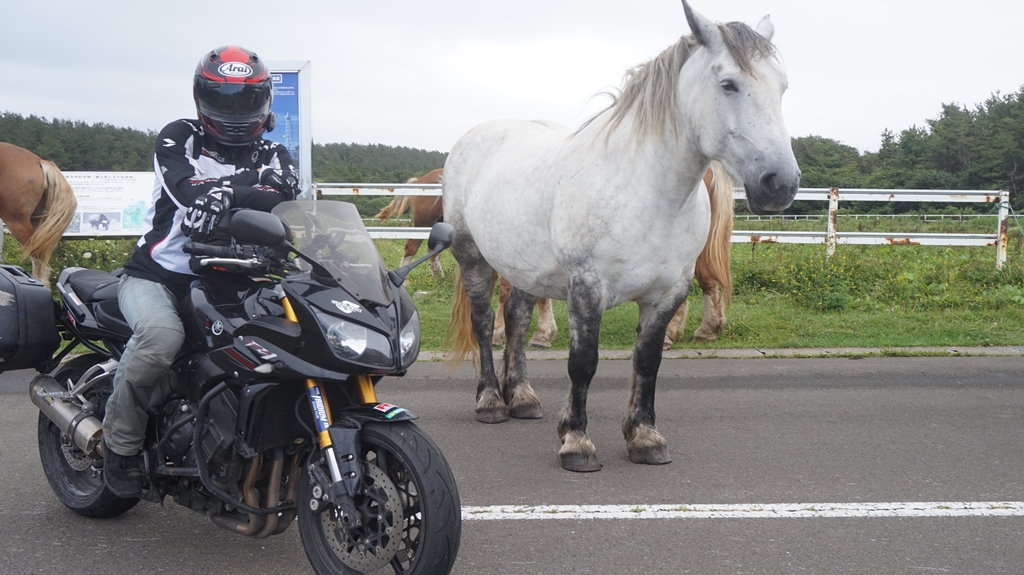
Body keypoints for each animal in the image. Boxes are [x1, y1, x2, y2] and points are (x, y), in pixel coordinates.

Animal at [444, 1, 794, 470]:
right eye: (728, 84)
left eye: (782, 87)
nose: (780, 184)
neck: (645, 192)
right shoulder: (587, 288)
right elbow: (582, 364)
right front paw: (576, 441)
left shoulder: (668, 293)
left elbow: (647, 362)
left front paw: (645, 438)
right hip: (473, 257)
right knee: (483, 323)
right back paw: (490, 402)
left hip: (523, 267)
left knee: (516, 320)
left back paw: (520, 397)